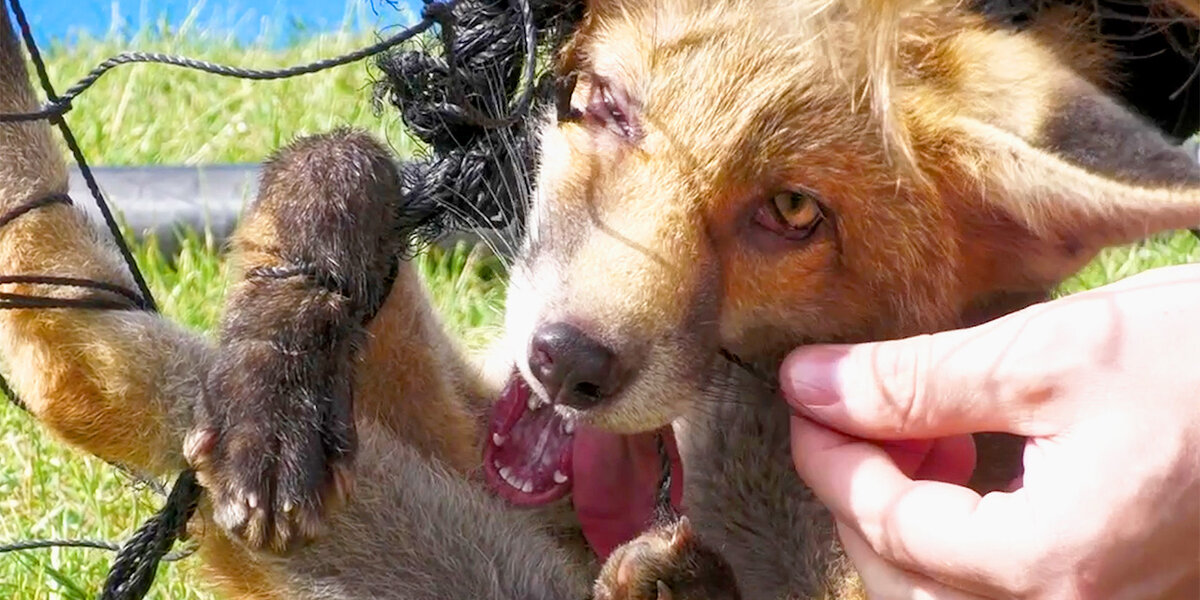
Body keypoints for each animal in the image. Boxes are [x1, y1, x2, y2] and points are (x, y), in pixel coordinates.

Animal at [2, 0, 1199, 599]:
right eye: (604, 108)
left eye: (794, 211)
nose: (568, 365)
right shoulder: (487, 450)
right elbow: (347, 160)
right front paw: (281, 368)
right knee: (71, 347)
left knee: (68, 355)